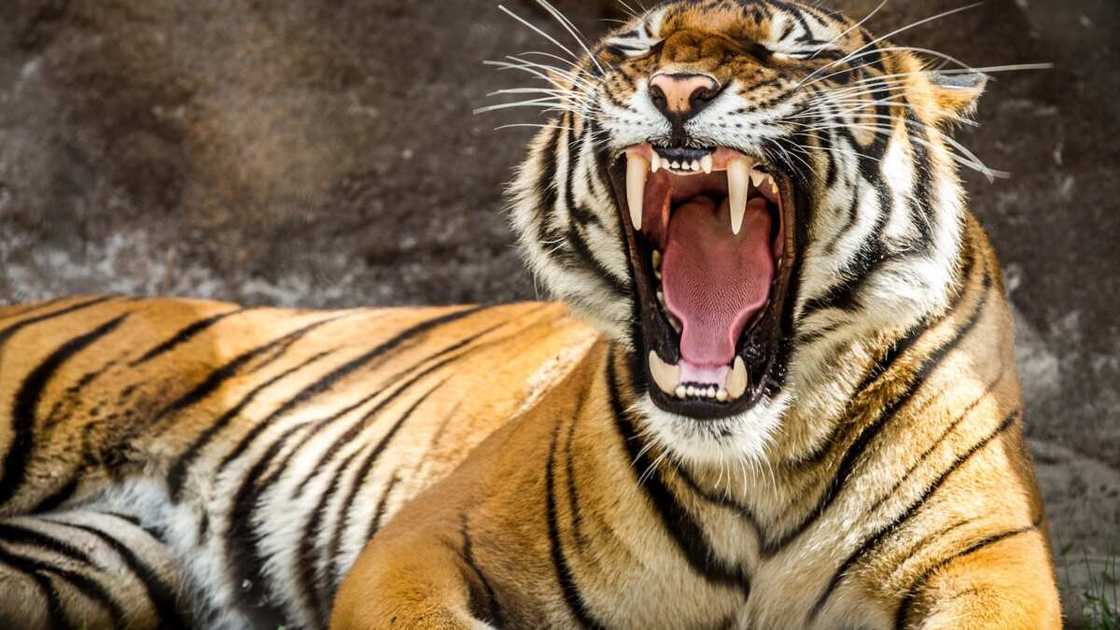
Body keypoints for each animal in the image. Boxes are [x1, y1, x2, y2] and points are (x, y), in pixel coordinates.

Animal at [0, 0, 1061, 628]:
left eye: (784, 45)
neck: (760, 455)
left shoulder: (987, 560)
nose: (677, 87)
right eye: (636, 46)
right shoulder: (418, 542)